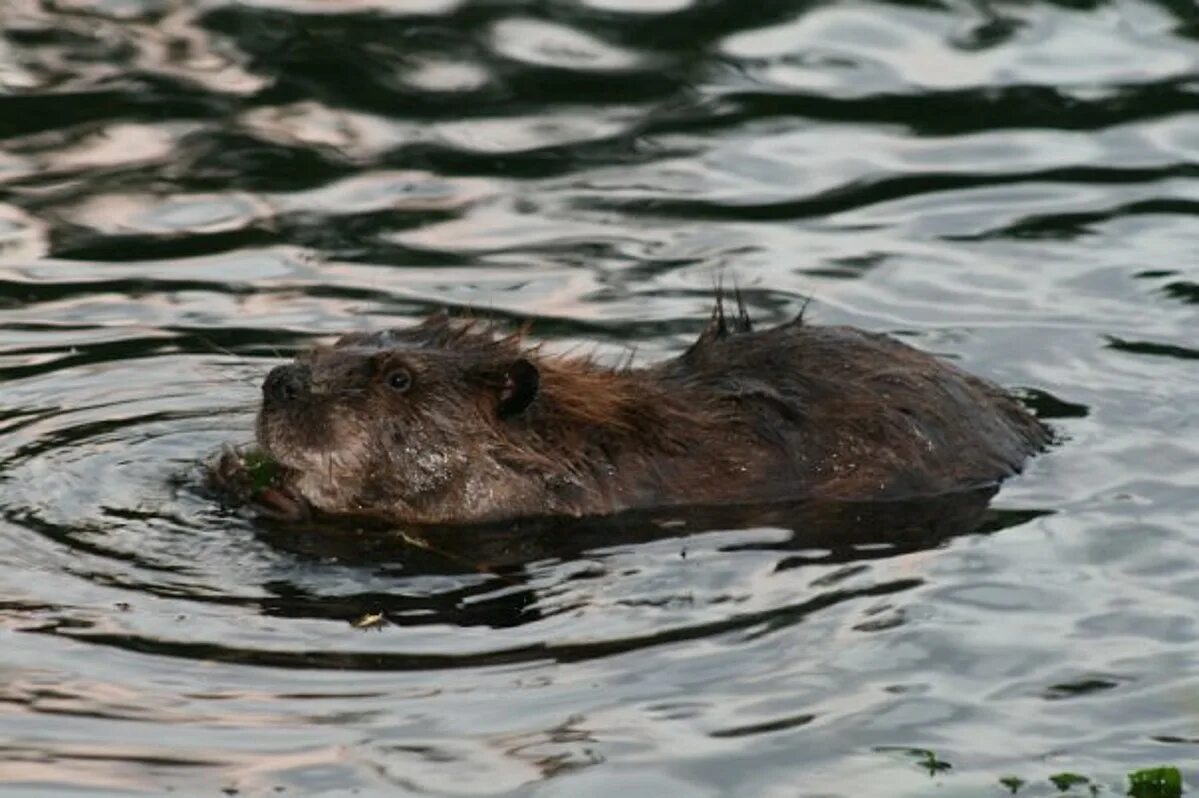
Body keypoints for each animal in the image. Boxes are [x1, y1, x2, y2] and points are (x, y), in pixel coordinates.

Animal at [226, 294, 1050, 524]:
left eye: (397, 378)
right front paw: (232, 468)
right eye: (334, 341)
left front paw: (277, 489)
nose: (281, 382)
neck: (582, 438)